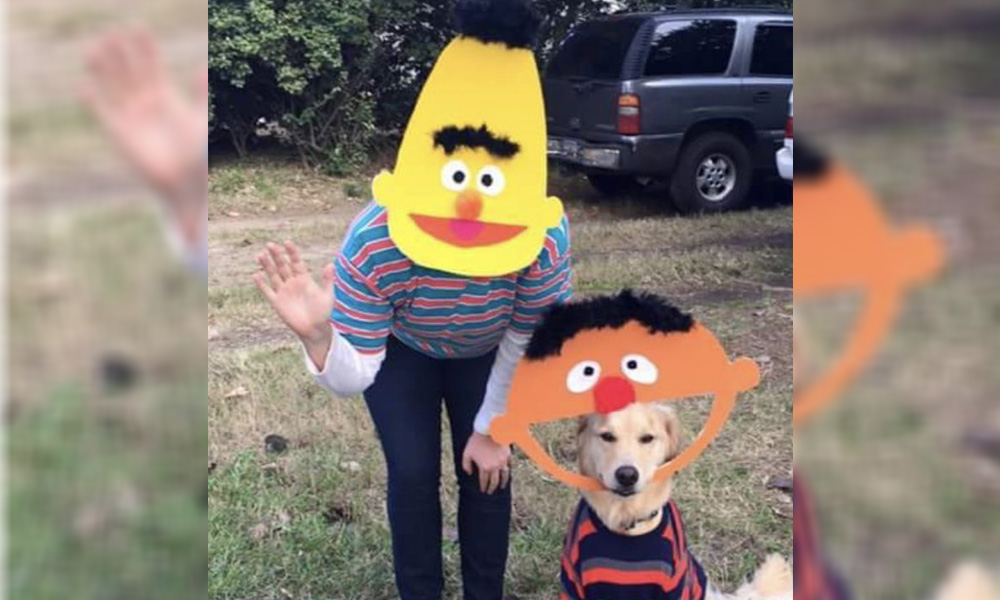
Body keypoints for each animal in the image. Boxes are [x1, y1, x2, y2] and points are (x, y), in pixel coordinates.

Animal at [556, 404, 788, 600]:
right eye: (607, 436)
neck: (626, 521)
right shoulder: (573, 584)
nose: (627, 475)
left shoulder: (675, 587)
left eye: (647, 438)